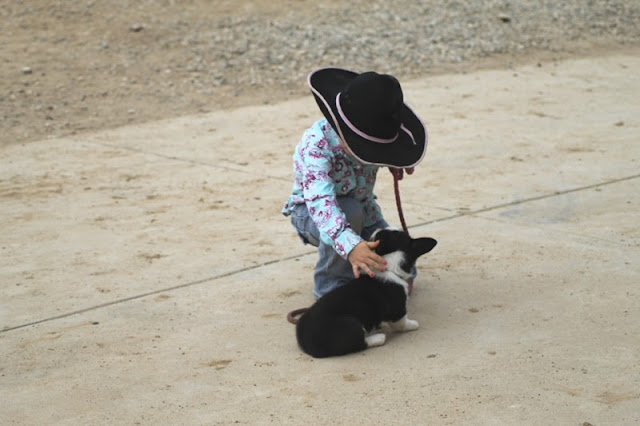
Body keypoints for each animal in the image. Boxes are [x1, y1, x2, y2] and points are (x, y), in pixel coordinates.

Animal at [298, 228, 438, 358]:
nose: (377, 229)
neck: (389, 266)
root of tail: (309, 346)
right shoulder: (398, 310)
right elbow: (402, 323)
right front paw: (412, 325)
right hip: (351, 326)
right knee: (358, 344)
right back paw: (378, 338)